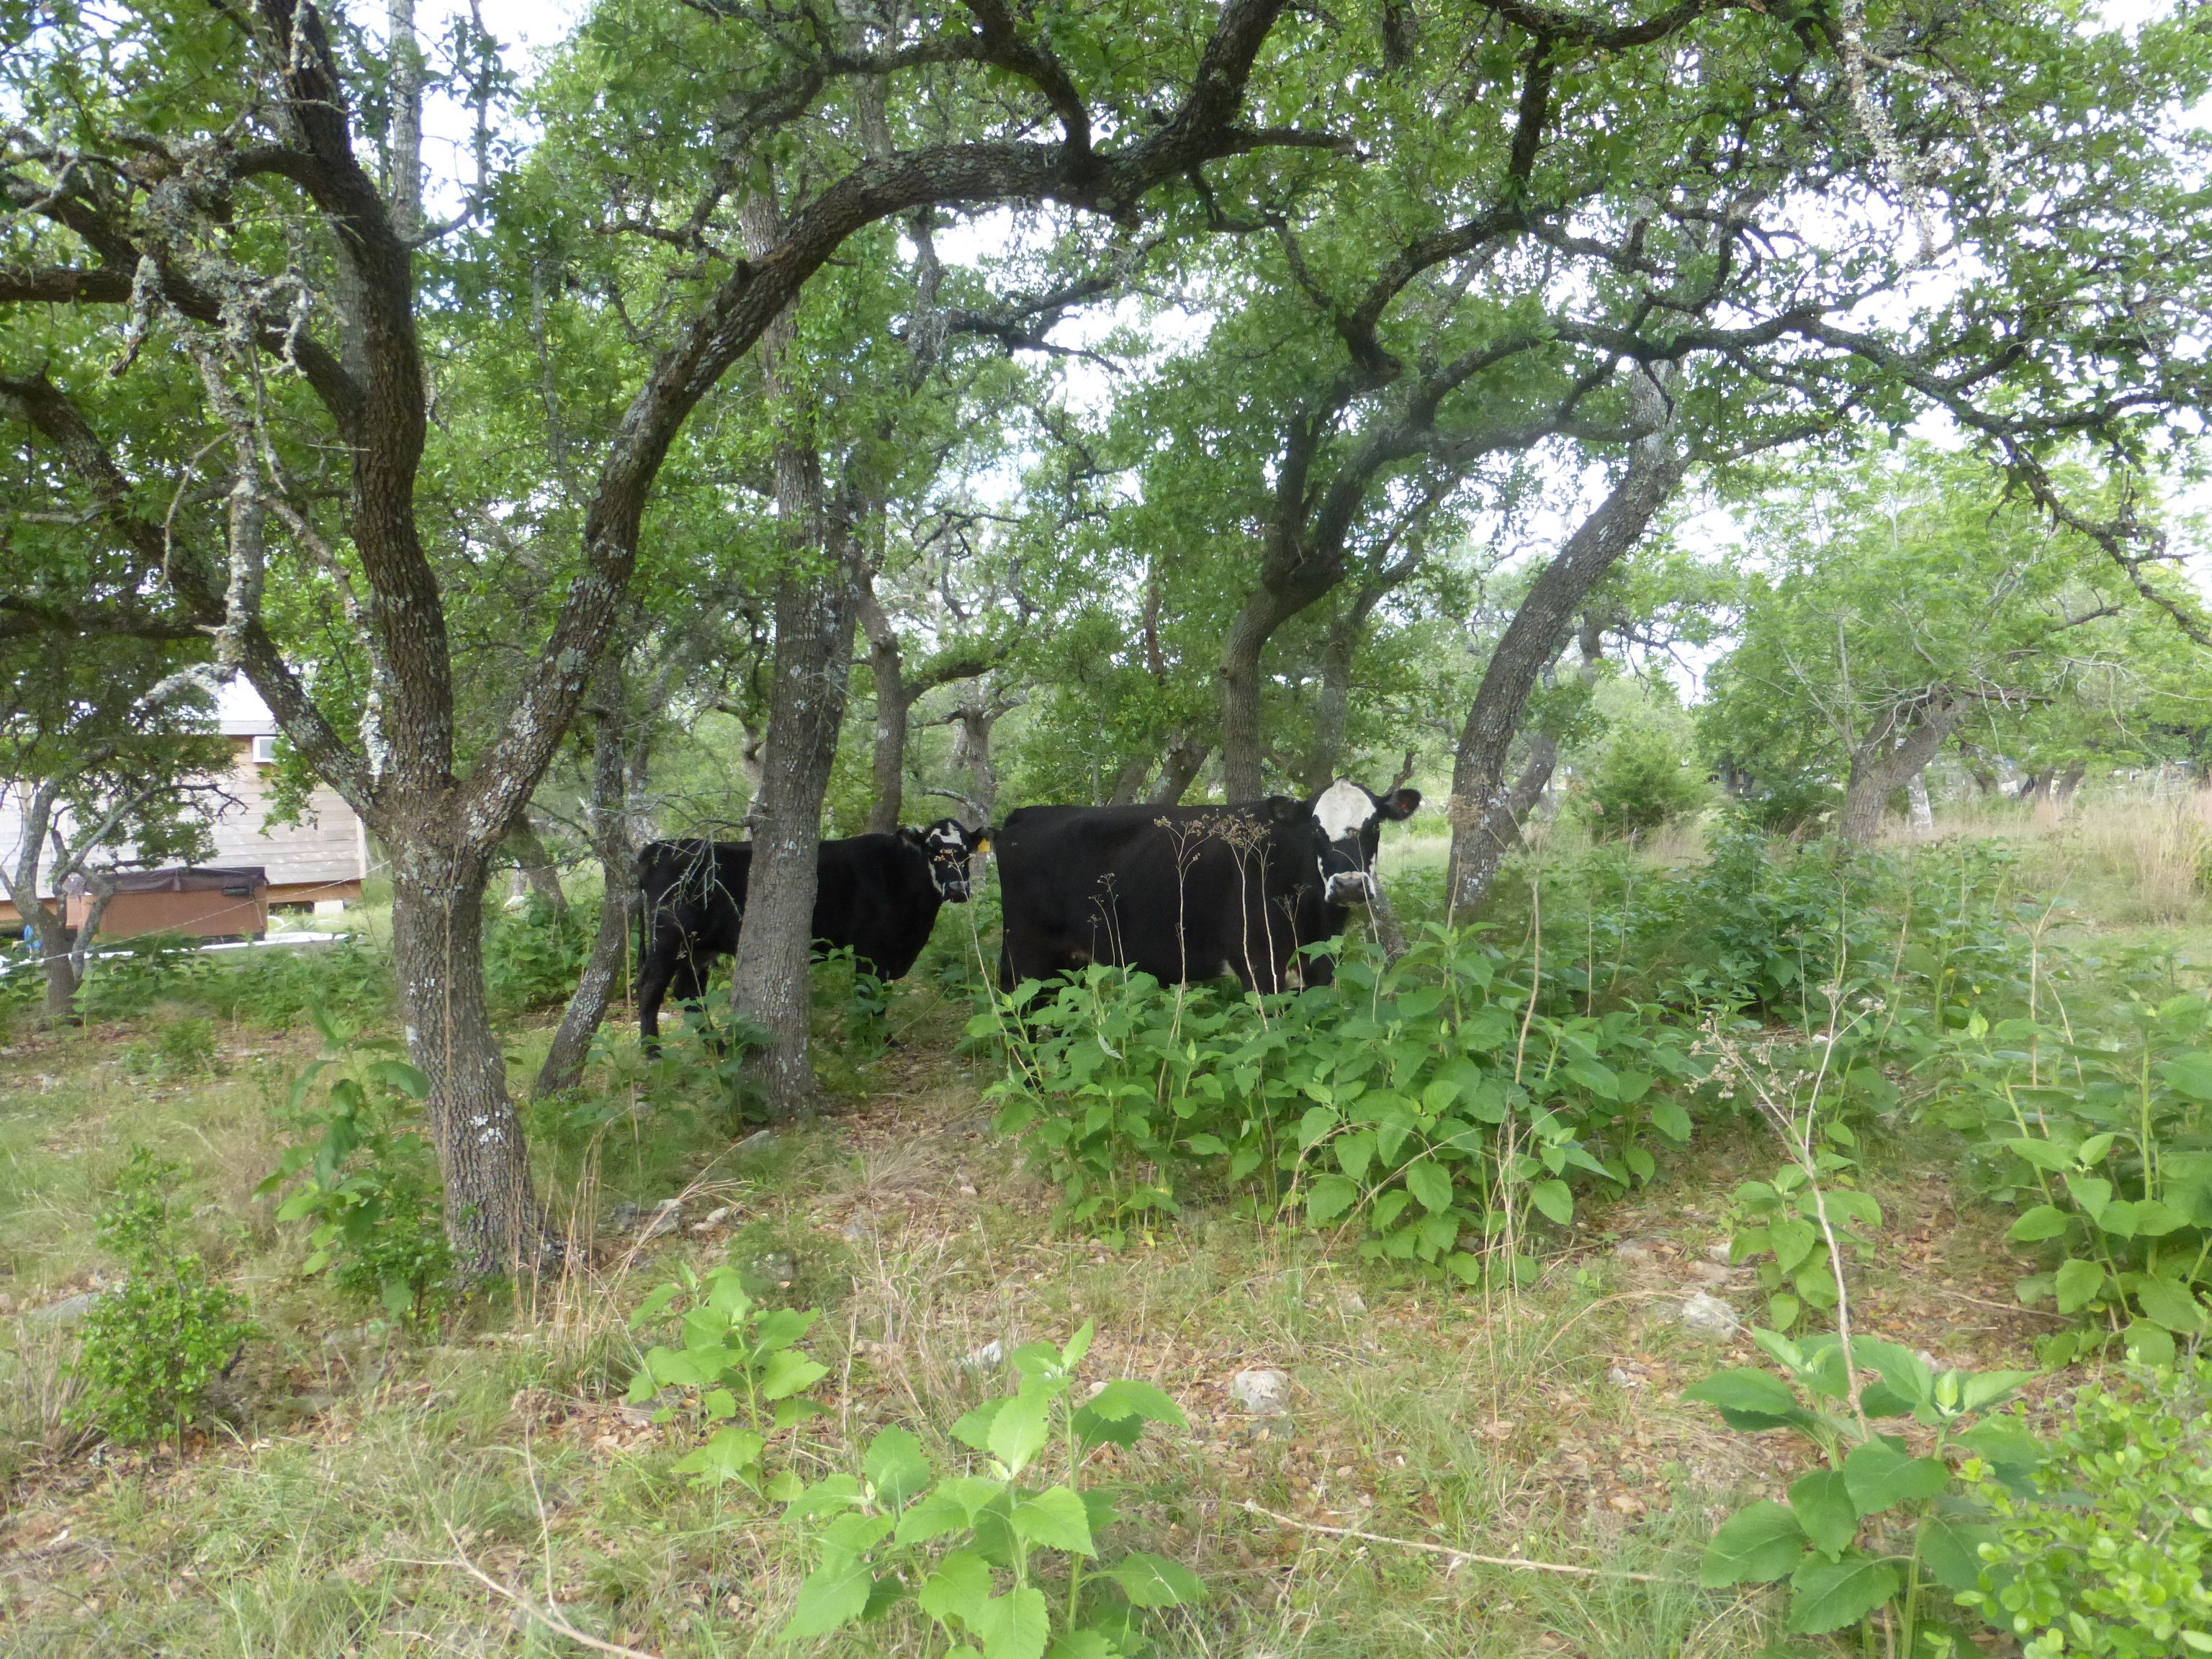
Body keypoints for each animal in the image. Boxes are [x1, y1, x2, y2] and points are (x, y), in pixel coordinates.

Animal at [635, 819, 986, 1046]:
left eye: (967, 851)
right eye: (932, 851)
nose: (958, 889)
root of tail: (663, 847)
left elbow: (880, 994)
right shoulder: (871, 951)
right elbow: (870, 995)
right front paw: (879, 1041)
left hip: (697, 949)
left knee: (688, 993)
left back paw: (717, 1046)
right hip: (668, 939)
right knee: (650, 989)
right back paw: (653, 1053)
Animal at [994, 779, 1420, 995]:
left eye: (1374, 825)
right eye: (1315, 829)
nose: (1349, 886)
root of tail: (1023, 816)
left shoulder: (1320, 958)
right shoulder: (1258, 960)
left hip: (1068, 958)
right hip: (1025, 952)